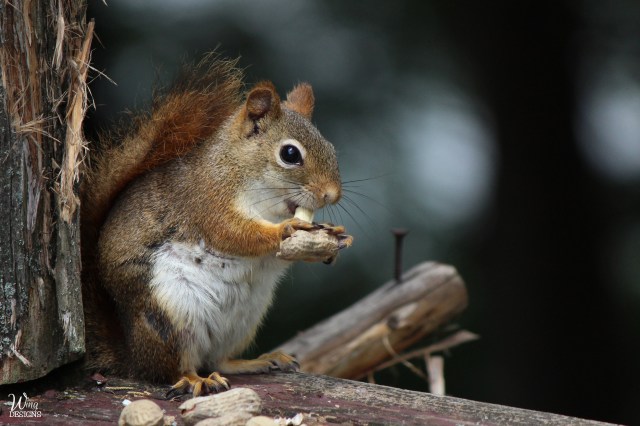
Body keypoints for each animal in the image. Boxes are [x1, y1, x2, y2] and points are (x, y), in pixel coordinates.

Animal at [80, 54, 351, 397]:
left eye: (331, 148)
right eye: (290, 154)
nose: (332, 194)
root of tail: (133, 356)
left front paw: (335, 237)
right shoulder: (206, 202)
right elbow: (233, 233)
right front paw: (285, 231)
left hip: (245, 318)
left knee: (218, 359)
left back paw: (256, 361)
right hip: (170, 314)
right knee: (172, 369)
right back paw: (195, 380)